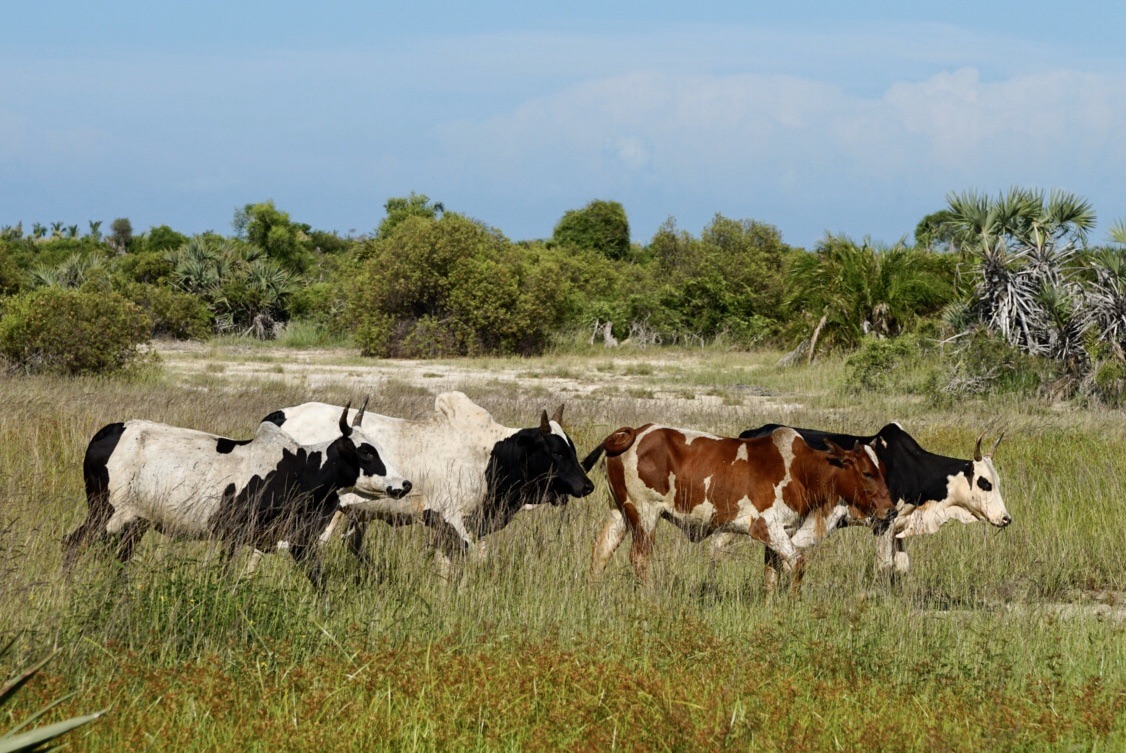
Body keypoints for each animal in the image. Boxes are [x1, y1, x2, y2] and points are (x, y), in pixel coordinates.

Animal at [60, 402, 409, 585]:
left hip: (134, 523)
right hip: (104, 512)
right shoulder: (234, 534)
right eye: (366, 453)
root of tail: (109, 431)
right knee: (72, 543)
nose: (404, 484)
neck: (301, 468)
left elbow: (318, 578)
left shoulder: (298, 541)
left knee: (119, 556)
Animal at [264, 391, 599, 571]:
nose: (587, 486)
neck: (492, 456)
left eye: (571, 447)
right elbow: (473, 558)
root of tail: (279, 416)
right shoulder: (451, 518)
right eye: (556, 451)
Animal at [585, 425, 891, 589]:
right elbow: (798, 563)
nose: (889, 509)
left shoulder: (783, 530)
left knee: (601, 551)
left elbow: (772, 572)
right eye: (867, 473)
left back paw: (596, 592)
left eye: (883, 469)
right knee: (639, 558)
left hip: (620, 512)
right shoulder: (765, 527)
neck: (800, 469)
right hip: (644, 513)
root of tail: (635, 432)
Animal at [716, 423, 1017, 576]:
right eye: (985, 483)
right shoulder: (883, 524)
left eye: (998, 482)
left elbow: (901, 568)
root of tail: (749, 434)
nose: (1005, 518)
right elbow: (883, 566)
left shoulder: (898, 529)